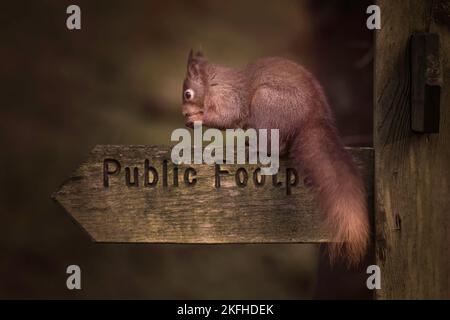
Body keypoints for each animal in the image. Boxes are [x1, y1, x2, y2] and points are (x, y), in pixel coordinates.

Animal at [181, 49, 370, 264]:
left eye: (188, 94)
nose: (184, 113)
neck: (212, 83)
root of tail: (313, 117)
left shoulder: (227, 97)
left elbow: (225, 117)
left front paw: (197, 118)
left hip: (266, 103)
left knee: (275, 146)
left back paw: (254, 147)